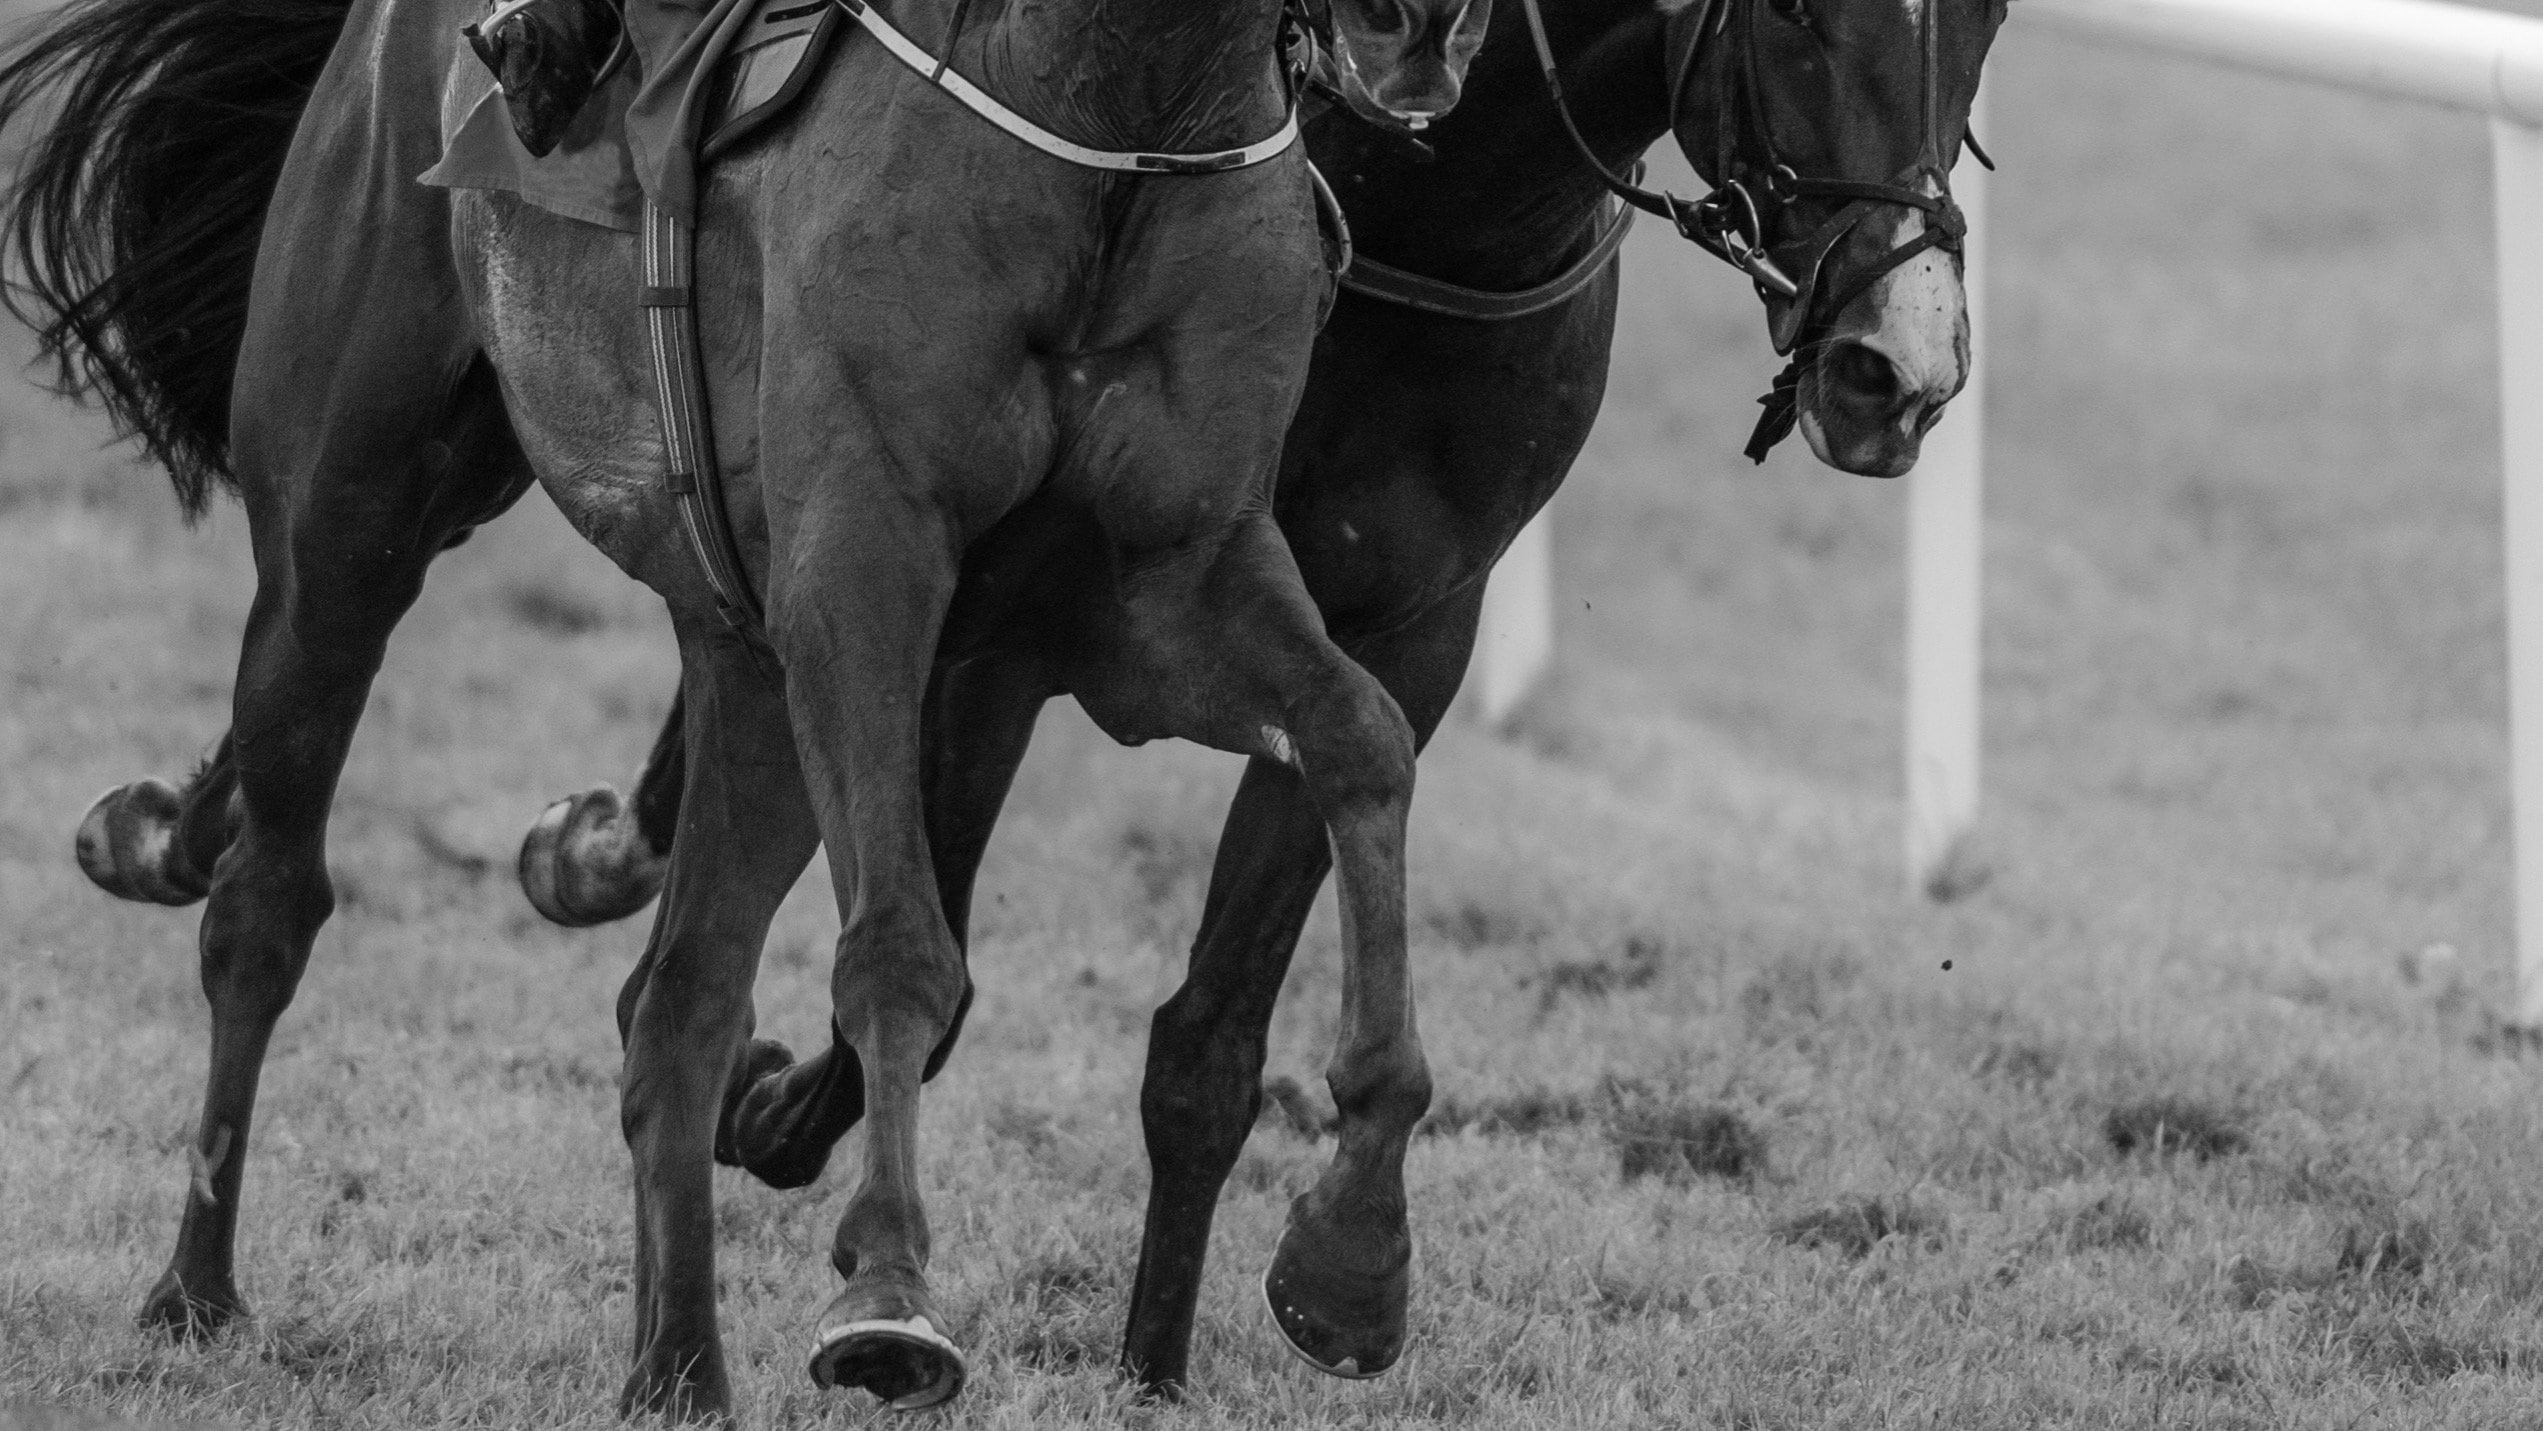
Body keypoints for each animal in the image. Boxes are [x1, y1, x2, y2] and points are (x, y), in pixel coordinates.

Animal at [0, 0, 1490, 1416]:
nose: (1419, 25)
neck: (1117, 122)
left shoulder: (1171, 581)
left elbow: (1360, 741)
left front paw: (1351, 1258)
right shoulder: (866, 564)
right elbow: (897, 943)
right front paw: (887, 1294)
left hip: (745, 663)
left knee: (677, 1003)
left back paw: (675, 1370)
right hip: (343, 522)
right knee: (266, 902)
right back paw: (194, 1283)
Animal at [502, 0, 2005, 1393]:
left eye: (1984, 19)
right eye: (1797, 17)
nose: (1894, 366)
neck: (1428, 216)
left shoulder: (1398, 632)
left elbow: (1211, 1042)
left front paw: (1194, 1345)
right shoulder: (994, 627)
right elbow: (930, 947)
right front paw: (774, 1112)